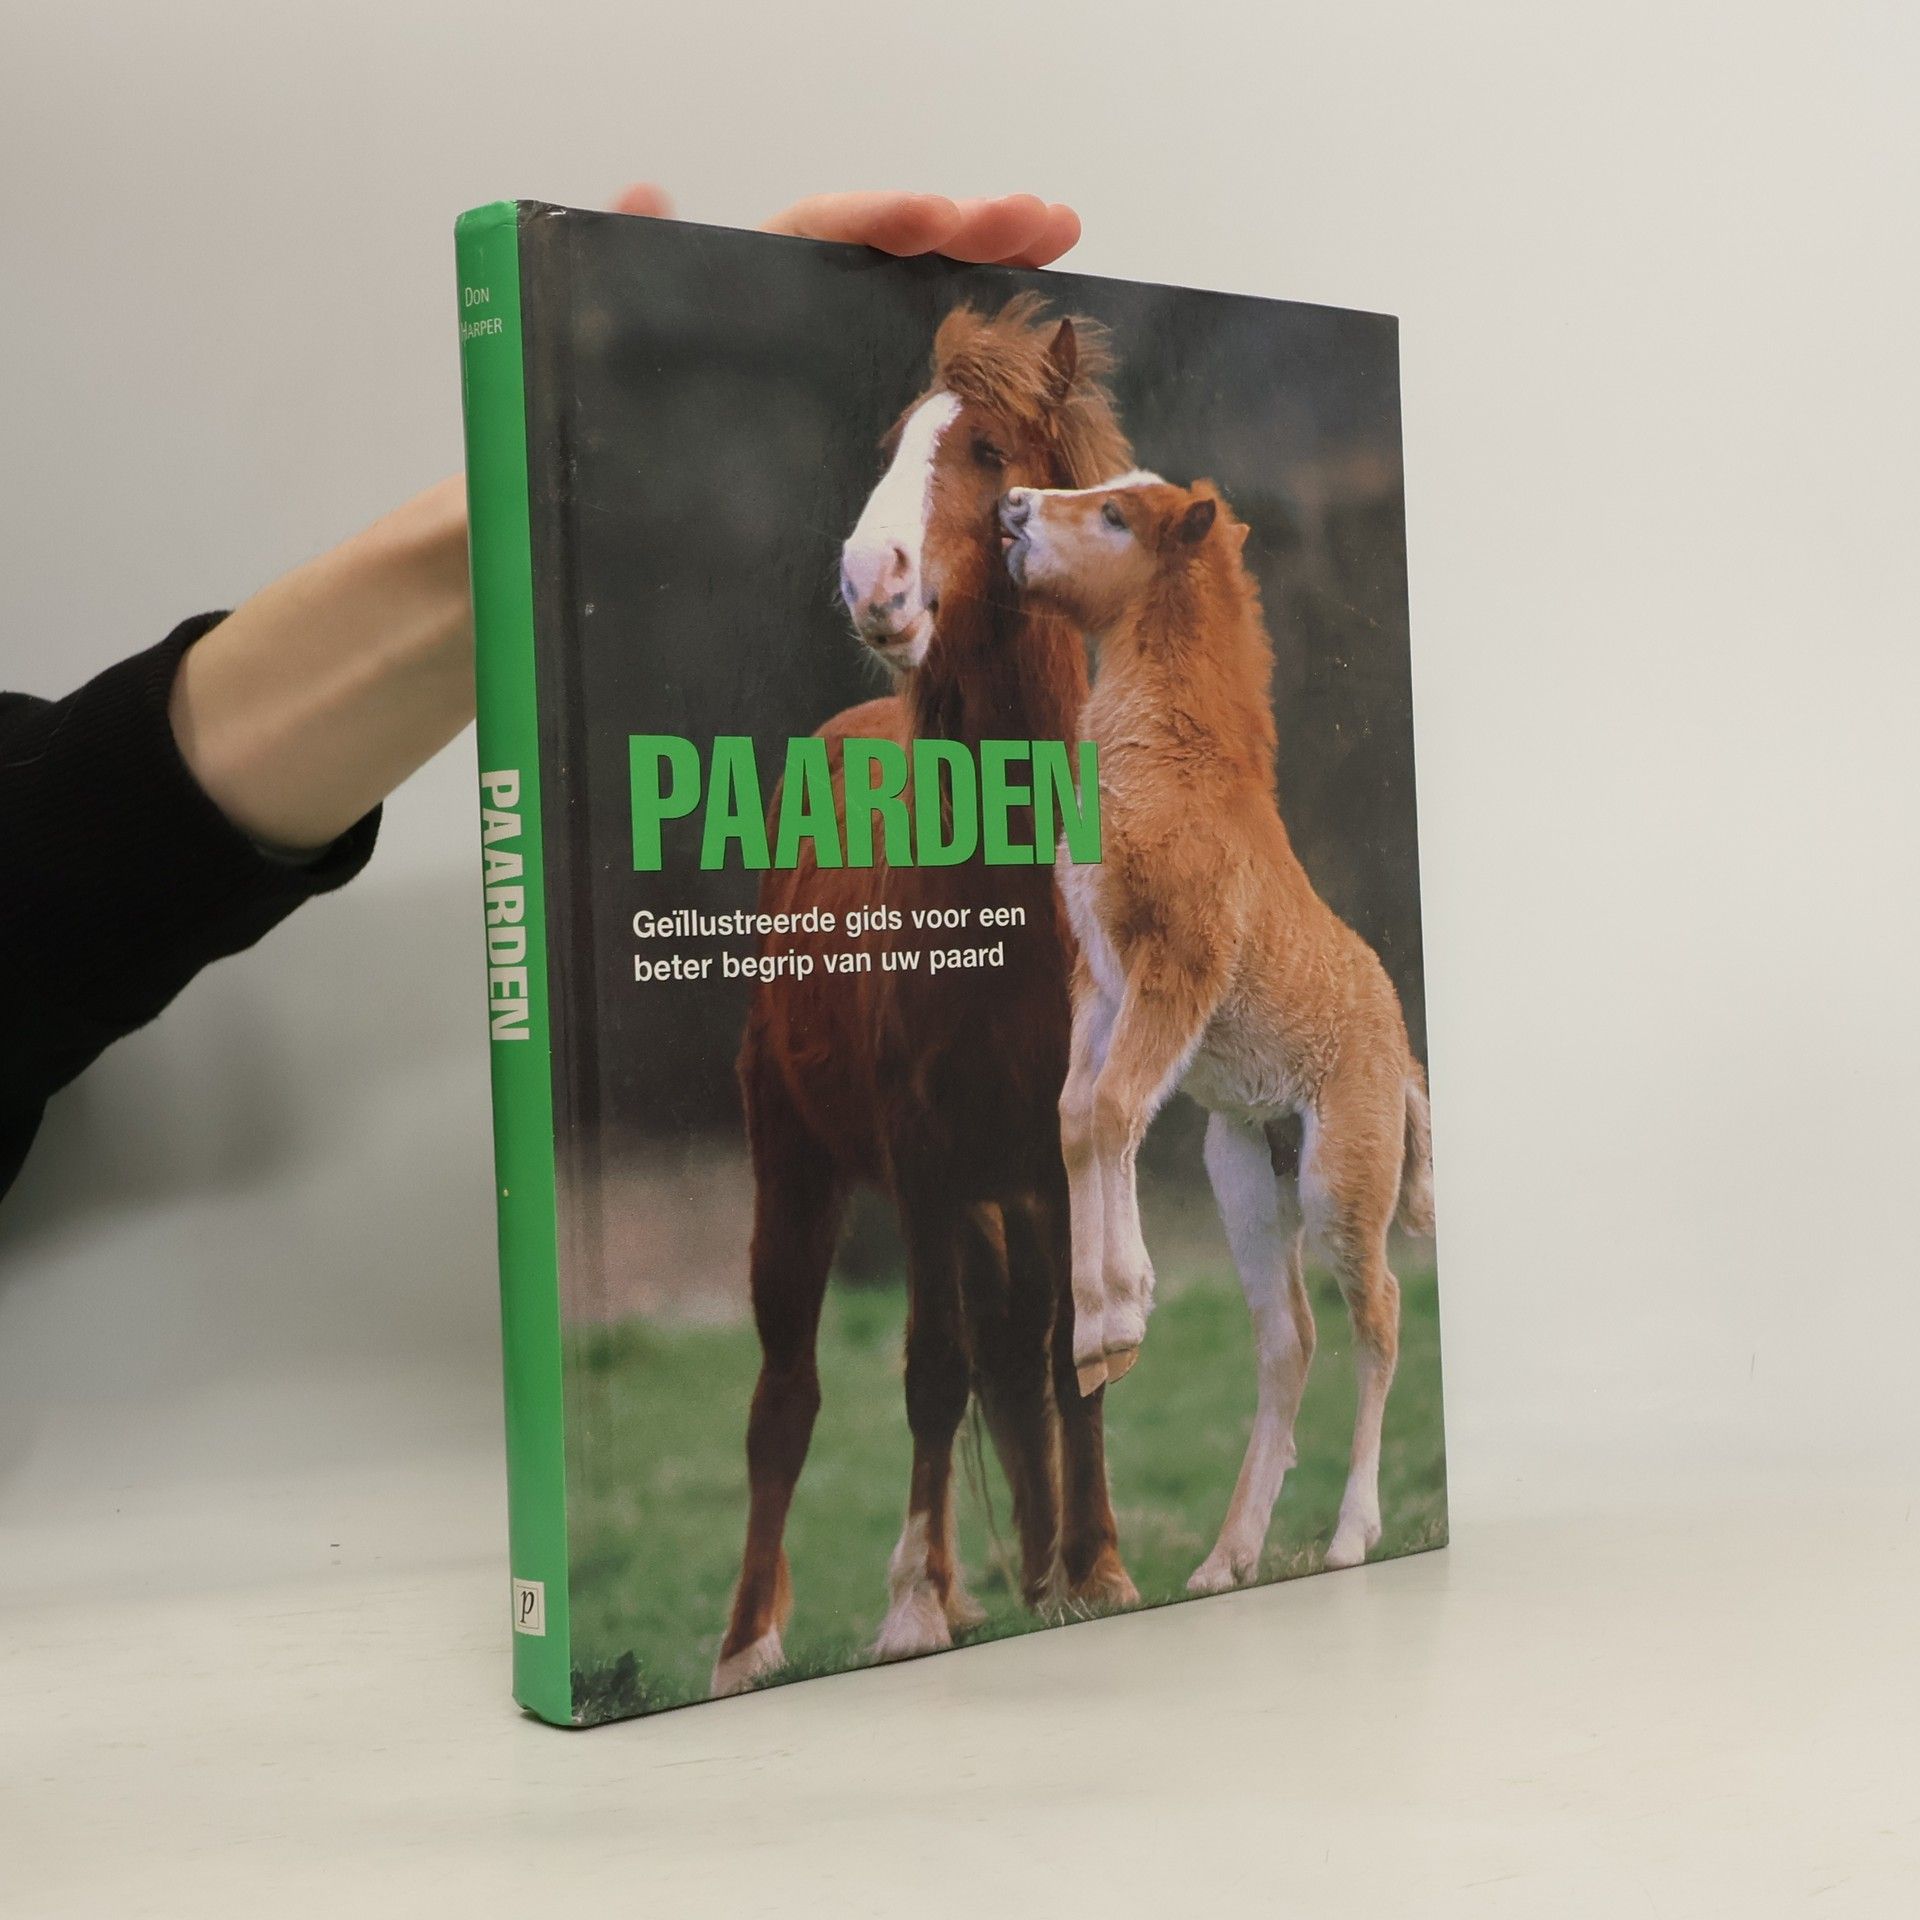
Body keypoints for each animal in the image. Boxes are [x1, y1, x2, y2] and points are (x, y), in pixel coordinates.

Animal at [711, 297, 1140, 1696]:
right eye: (897, 446)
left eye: (994, 452)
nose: (873, 581)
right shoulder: (923, 1157)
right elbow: (930, 1371)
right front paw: (911, 1609)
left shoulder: (1066, 1154)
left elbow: (1070, 1360)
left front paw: (1096, 1573)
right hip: (801, 1172)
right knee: (787, 1397)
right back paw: (751, 1642)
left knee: (1019, 1358)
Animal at [998, 472, 1436, 1582]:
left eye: (1115, 517)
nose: (1013, 506)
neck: (1174, 767)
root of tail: (1402, 1054)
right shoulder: (1100, 986)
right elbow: (1076, 1118)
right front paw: (1102, 1332)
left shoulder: (1177, 972)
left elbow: (1113, 1108)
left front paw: (1116, 1315)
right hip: (1243, 1171)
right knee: (1288, 1339)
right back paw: (1223, 1561)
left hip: (1340, 1178)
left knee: (1380, 1313)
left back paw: (1350, 1534)